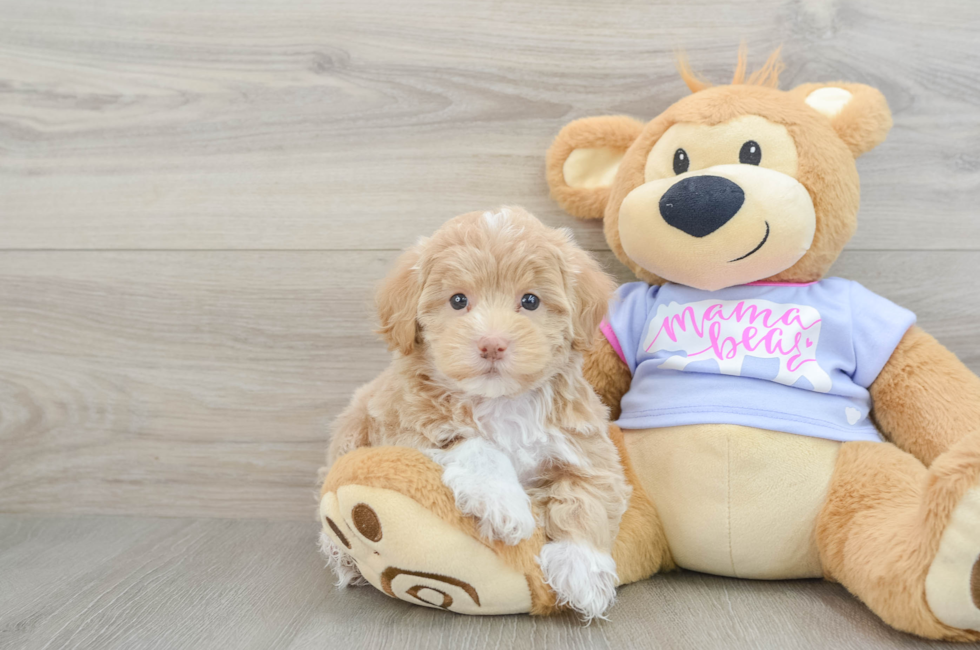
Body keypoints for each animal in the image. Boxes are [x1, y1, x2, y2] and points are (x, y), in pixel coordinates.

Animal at [322, 206, 628, 616]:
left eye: (530, 301)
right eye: (457, 300)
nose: (492, 344)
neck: (500, 400)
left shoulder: (584, 446)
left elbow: (587, 499)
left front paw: (582, 571)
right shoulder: (402, 427)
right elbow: (476, 445)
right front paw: (505, 505)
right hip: (352, 431)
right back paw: (344, 560)